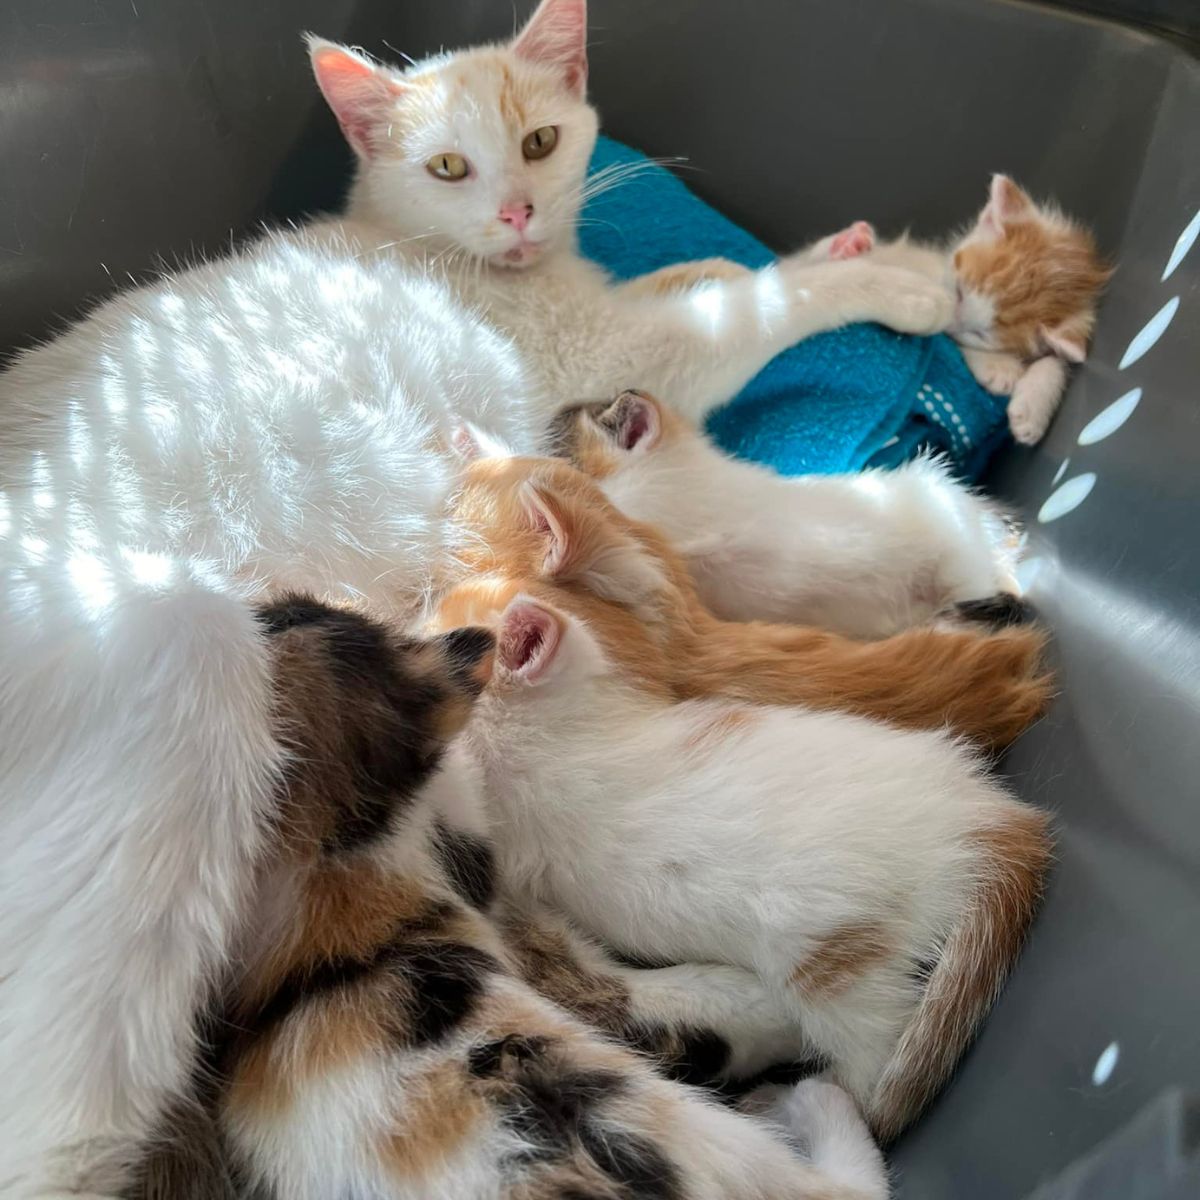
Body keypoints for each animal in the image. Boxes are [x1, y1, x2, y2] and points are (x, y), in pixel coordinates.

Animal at [811, 175, 1108, 444]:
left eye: (980, 334)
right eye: (959, 292)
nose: (947, 323)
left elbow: (1058, 360)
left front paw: (1032, 410)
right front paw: (999, 368)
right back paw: (847, 245)